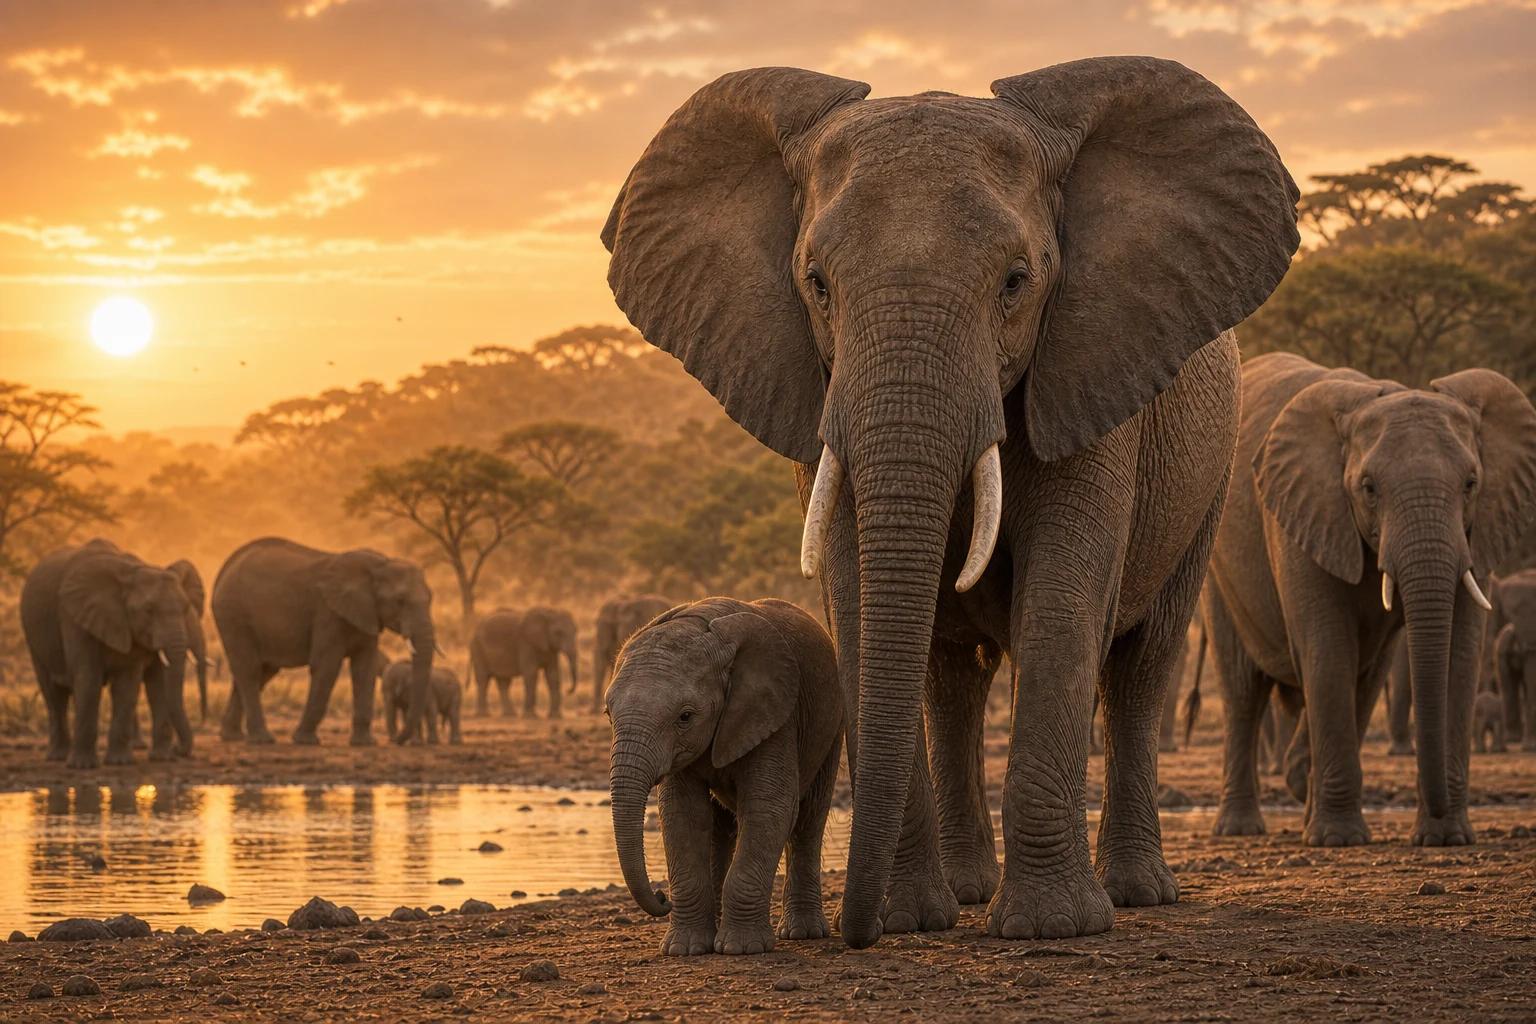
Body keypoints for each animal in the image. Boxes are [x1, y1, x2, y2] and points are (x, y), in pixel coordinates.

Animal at [20, 539, 192, 767]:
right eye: (148, 610)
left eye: (186, 609)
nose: (179, 750)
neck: (129, 575)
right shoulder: (75, 616)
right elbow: (89, 679)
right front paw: (82, 767)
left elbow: (126, 685)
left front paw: (120, 763)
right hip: (33, 636)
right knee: (53, 692)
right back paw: (58, 757)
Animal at [212, 537, 436, 746]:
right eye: (400, 601)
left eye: (431, 598)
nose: (396, 741)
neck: (380, 564)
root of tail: (225, 568)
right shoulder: (328, 614)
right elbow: (326, 666)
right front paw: (305, 741)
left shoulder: (368, 615)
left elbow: (364, 669)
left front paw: (364, 743)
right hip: (233, 615)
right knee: (249, 670)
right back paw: (262, 740)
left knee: (262, 672)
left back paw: (232, 736)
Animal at [606, 597, 843, 956]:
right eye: (608, 714)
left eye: (685, 717)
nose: (662, 897)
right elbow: (683, 815)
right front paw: (685, 950)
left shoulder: (776, 716)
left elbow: (768, 809)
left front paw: (742, 949)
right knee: (719, 827)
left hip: (831, 725)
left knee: (808, 819)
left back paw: (802, 933)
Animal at [1205, 353, 1536, 847]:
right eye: (1369, 488)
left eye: (1471, 484)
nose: (1437, 807)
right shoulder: (1303, 514)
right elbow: (1328, 648)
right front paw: (1337, 840)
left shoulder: (1478, 527)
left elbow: (1457, 652)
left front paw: (1446, 838)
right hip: (1216, 572)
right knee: (1243, 689)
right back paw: (1241, 828)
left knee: (1366, 673)